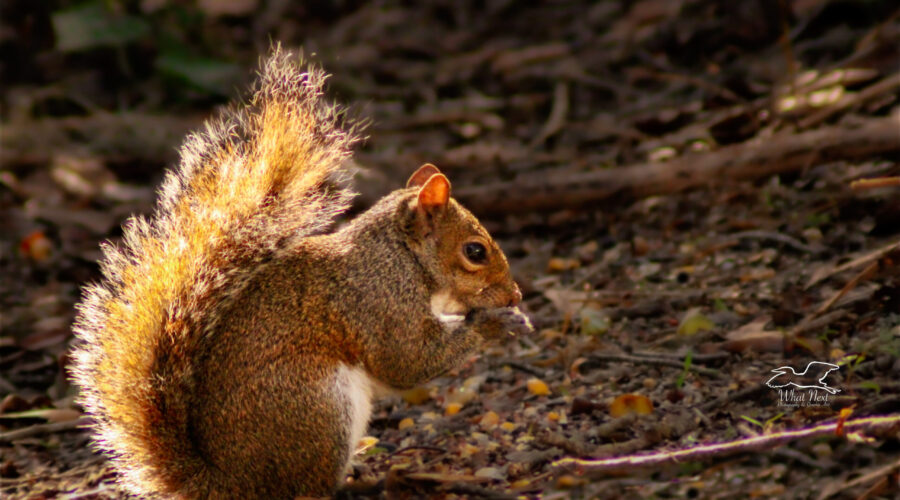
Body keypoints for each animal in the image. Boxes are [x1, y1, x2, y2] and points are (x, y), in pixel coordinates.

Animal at [72, 47, 536, 500]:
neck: (403, 258)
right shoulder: (379, 301)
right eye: (475, 251)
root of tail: (228, 483)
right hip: (319, 408)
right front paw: (497, 323)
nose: (514, 295)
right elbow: (407, 359)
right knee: (306, 488)